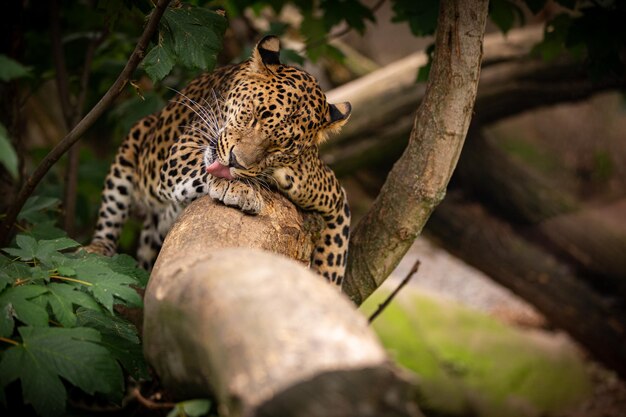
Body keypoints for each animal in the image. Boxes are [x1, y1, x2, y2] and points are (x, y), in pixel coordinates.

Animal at [84, 35, 352, 286]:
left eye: (281, 146)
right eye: (255, 115)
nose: (236, 161)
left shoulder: (335, 200)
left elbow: (333, 261)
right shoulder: (181, 151)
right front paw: (240, 188)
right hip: (136, 136)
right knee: (111, 213)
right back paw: (97, 249)